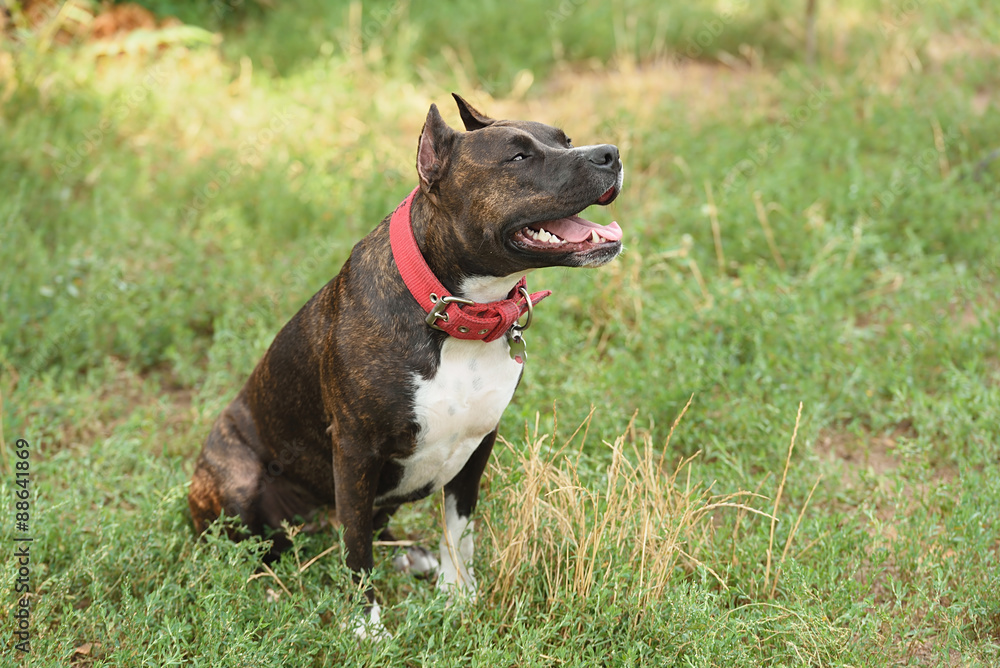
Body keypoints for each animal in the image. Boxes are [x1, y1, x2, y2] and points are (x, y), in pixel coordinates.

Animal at [188, 92, 620, 632]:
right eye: (518, 157)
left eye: (565, 139)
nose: (610, 153)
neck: (457, 313)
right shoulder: (355, 451)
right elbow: (356, 548)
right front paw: (367, 625)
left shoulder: (478, 445)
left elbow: (458, 529)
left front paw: (457, 596)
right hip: (239, 481)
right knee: (249, 546)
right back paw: (264, 588)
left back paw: (408, 555)